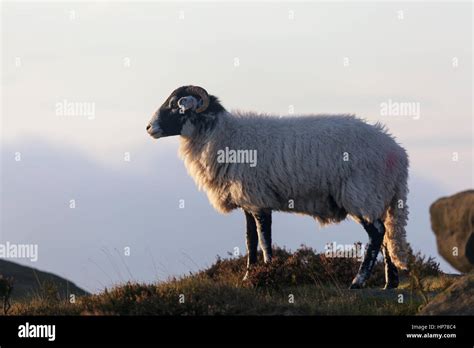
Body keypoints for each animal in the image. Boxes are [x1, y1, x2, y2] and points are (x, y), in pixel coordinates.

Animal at [146, 85, 410, 290]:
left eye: (175, 105)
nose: (149, 128)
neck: (223, 136)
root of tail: (398, 154)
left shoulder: (259, 200)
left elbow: (264, 242)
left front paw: (268, 274)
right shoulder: (248, 201)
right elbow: (250, 241)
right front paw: (248, 277)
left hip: (360, 193)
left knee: (377, 234)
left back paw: (358, 281)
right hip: (379, 197)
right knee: (387, 237)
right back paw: (390, 283)